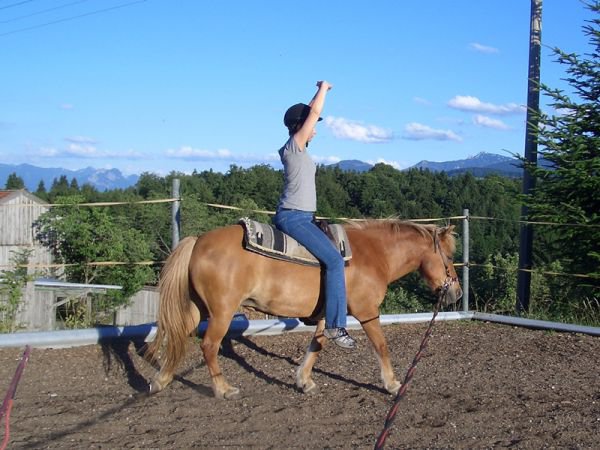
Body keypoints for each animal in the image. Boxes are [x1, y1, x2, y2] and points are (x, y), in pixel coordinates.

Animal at [145, 219, 462, 399]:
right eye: (448, 257)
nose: (456, 292)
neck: (374, 254)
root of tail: (198, 241)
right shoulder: (367, 311)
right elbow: (381, 345)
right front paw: (393, 383)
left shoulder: (326, 317)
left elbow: (317, 346)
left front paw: (304, 381)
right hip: (222, 312)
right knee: (209, 346)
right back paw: (223, 390)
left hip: (198, 308)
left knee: (179, 335)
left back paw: (160, 380)